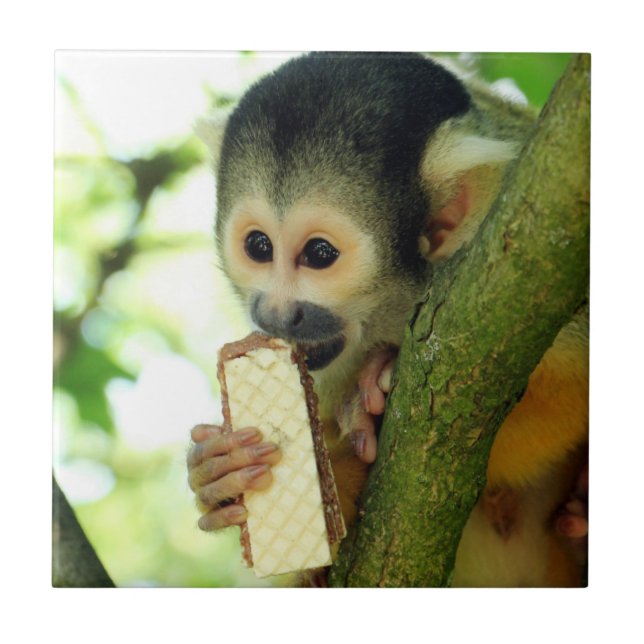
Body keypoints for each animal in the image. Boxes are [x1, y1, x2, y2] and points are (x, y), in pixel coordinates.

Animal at [186, 52, 589, 587]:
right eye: (258, 246)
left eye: (319, 254)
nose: (275, 314)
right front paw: (220, 473)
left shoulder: (530, 258)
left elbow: (566, 388)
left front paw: (373, 396)